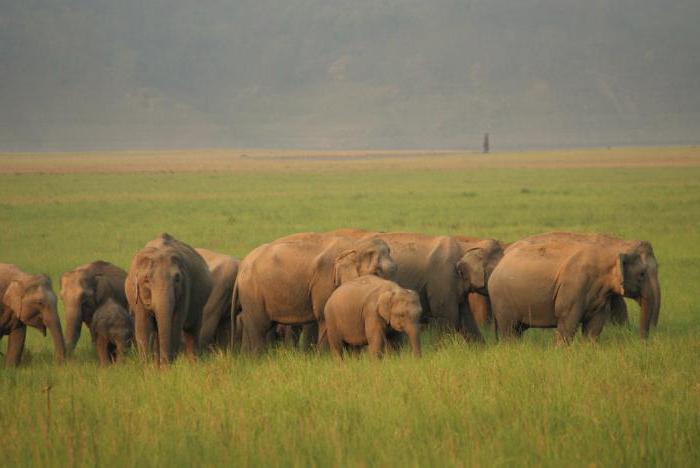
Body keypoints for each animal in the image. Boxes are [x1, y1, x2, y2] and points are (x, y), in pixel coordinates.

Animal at [126, 234, 212, 366]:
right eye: (146, 280)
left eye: (177, 279)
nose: (165, 364)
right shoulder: (138, 295)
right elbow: (143, 327)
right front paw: (148, 368)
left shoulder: (184, 289)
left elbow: (175, 324)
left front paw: (167, 368)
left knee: (192, 330)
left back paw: (193, 364)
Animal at [232, 232, 396, 352]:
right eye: (376, 272)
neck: (355, 244)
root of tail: (242, 265)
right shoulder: (325, 280)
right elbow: (324, 315)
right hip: (252, 292)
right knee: (259, 327)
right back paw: (258, 359)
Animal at [486, 232, 660, 342]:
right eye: (642, 274)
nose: (643, 342)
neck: (615, 245)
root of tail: (502, 259)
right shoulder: (574, 286)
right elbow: (567, 322)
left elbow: (594, 326)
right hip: (501, 299)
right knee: (510, 330)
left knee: (518, 330)